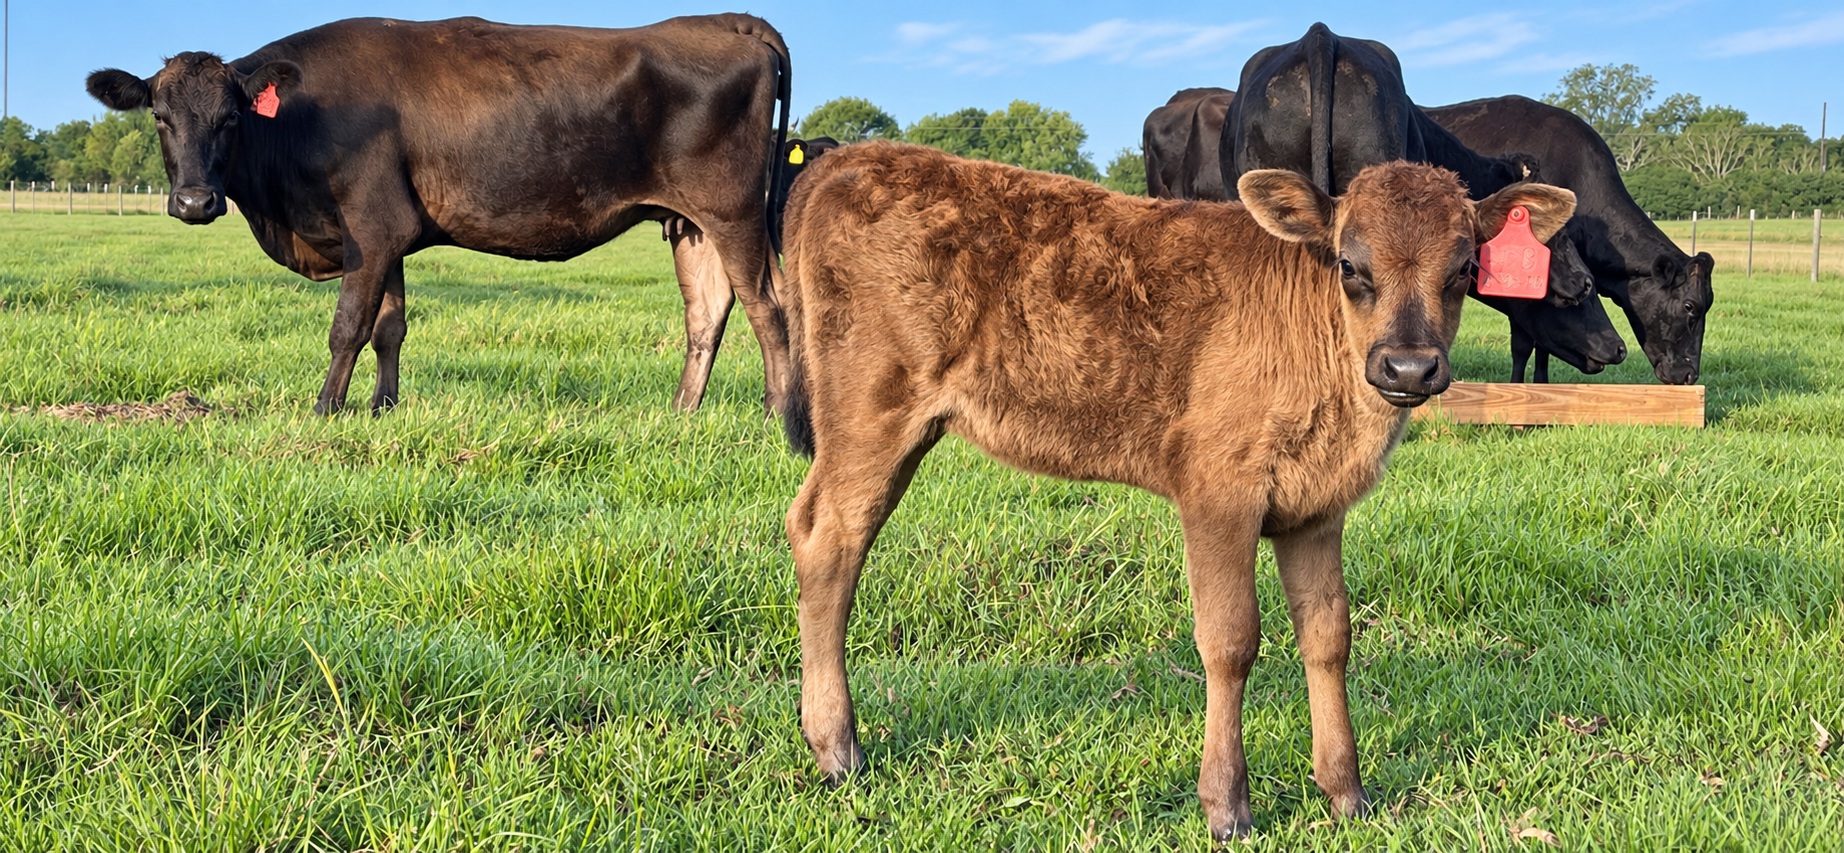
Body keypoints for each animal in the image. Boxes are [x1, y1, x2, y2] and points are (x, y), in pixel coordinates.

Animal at [86, 14, 793, 416]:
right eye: (159, 116)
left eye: (231, 116)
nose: (194, 202)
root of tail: (728, 21)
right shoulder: (386, 234)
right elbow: (389, 329)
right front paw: (381, 409)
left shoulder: (372, 226)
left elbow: (347, 327)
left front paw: (323, 410)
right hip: (690, 224)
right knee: (707, 312)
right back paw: (682, 415)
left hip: (732, 211)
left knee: (769, 308)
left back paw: (777, 417)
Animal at [777, 140, 1575, 839]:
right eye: (1351, 264)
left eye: (1465, 266)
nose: (1409, 366)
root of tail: (851, 158)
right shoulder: (1218, 491)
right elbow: (1231, 640)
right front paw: (1227, 807)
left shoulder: (1316, 509)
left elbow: (1329, 636)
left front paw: (1347, 793)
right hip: (870, 412)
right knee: (828, 537)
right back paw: (838, 750)